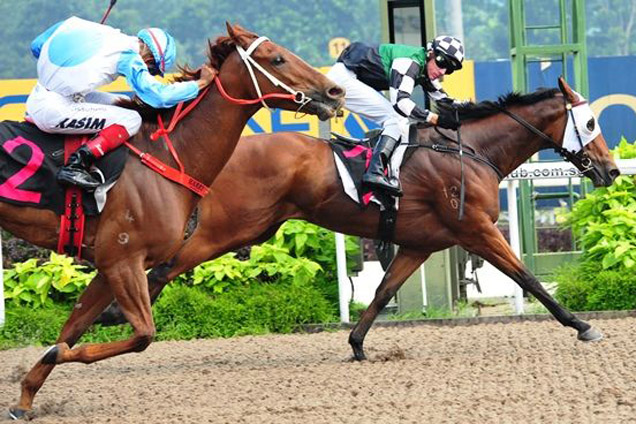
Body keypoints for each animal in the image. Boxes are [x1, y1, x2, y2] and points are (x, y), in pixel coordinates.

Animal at [6, 23, 342, 418]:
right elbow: (142, 335)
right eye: (277, 58)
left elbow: (71, 330)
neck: (166, 156)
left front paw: (26, 395)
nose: (336, 91)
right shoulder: (123, 261)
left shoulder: (109, 267)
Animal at [99, 76, 616, 362]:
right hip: (231, 227)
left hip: (253, 228)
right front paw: (582, 325)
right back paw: (114, 311)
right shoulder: (476, 229)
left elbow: (385, 290)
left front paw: (357, 343)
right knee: (166, 265)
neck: (470, 151)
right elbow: (526, 277)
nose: (611, 169)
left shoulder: (421, 243)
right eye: (591, 123)